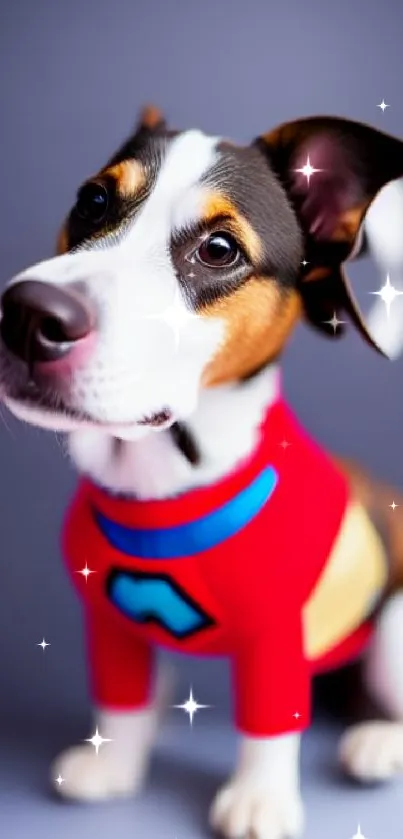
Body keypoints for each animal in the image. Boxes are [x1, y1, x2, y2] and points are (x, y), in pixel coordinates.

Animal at [0, 106, 403, 839]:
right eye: (92, 200)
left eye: (219, 249)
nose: (26, 313)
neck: (159, 484)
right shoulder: (106, 621)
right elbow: (122, 696)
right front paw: (115, 760)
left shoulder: (276, 636)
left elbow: (271, 721)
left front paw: (260, 796)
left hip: (391, 627)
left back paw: (378, 739)